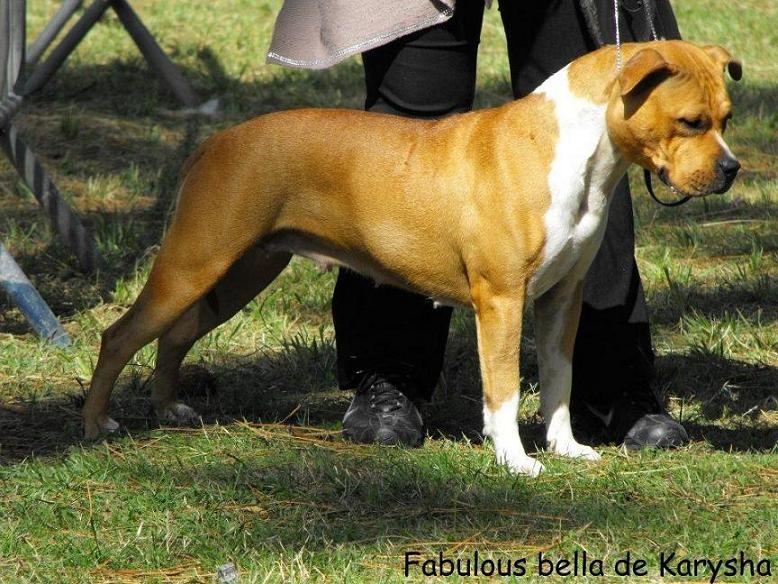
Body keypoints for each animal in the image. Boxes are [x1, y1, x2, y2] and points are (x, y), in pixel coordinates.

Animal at [82, 40, 741, 476]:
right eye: (691, 121)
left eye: (728, 119)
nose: (732, 168)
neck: (576, 149)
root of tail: (216, 142)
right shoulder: (500, 301)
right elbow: (503, 389)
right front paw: (515, 461)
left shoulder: (562, 299)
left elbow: (559, 380)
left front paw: (567, 448)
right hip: (194, 263)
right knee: (121, 336)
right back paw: (95, 427)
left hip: (239, 272)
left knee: (176, 334)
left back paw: (168, 409)